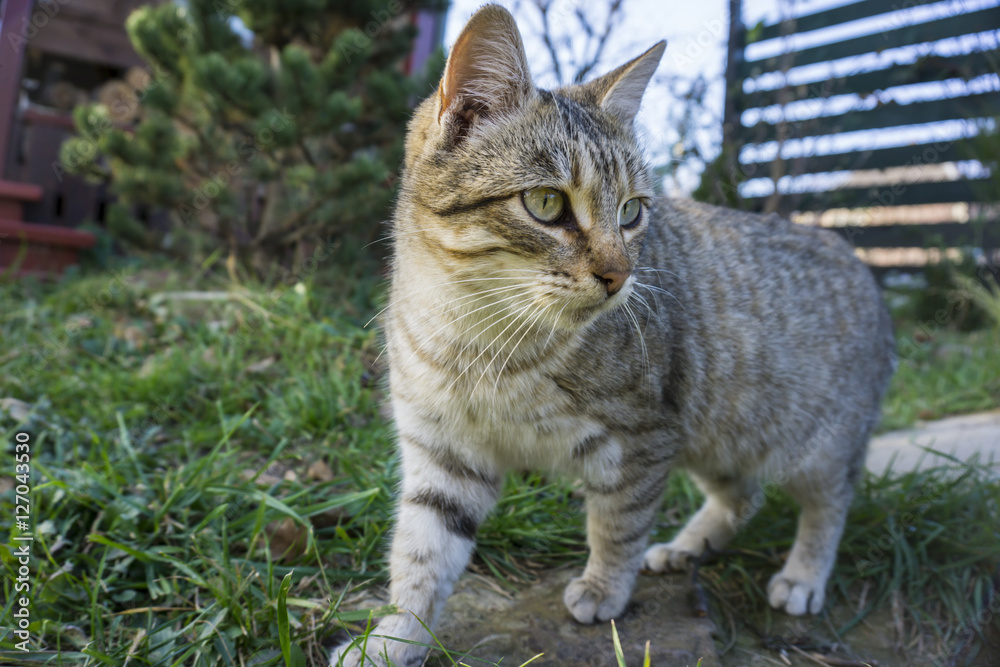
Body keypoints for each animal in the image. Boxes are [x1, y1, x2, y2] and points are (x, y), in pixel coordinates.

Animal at [332, 6, 896, 667]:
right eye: (546, 202)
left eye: (631, 212)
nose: (620, 274)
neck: (478, 337)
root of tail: (857, 257)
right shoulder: (444, 455)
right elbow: (421, 557)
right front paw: (394, 637)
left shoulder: (640, 439)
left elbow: (617, 524)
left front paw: (603, 588)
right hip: (717, 438)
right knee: (744, 496)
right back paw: (688, 547)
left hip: (811, 444)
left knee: (829, 502)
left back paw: (803, 575)